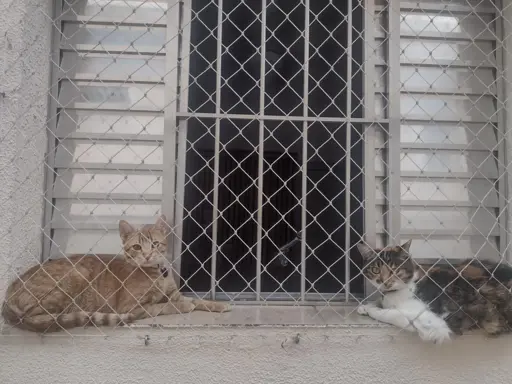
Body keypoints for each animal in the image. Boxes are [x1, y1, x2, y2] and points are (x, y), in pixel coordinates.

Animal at [2, 214, 230, 332]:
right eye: (137, 247)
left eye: (155, 244)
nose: (147, 255)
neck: (157, 275)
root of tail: (8, 294)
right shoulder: (133, 307)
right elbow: (164, 306)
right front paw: (183, 306)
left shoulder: (174, 293)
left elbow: (198, 300)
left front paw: (219, 305)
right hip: (77, 274)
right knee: (38, 317)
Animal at [358, 240, 512, 344]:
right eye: (375, 270)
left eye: (394, 269)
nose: (384, 281)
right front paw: (366, 306)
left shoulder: (432, 323)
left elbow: (392, 313)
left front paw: (373, 309)